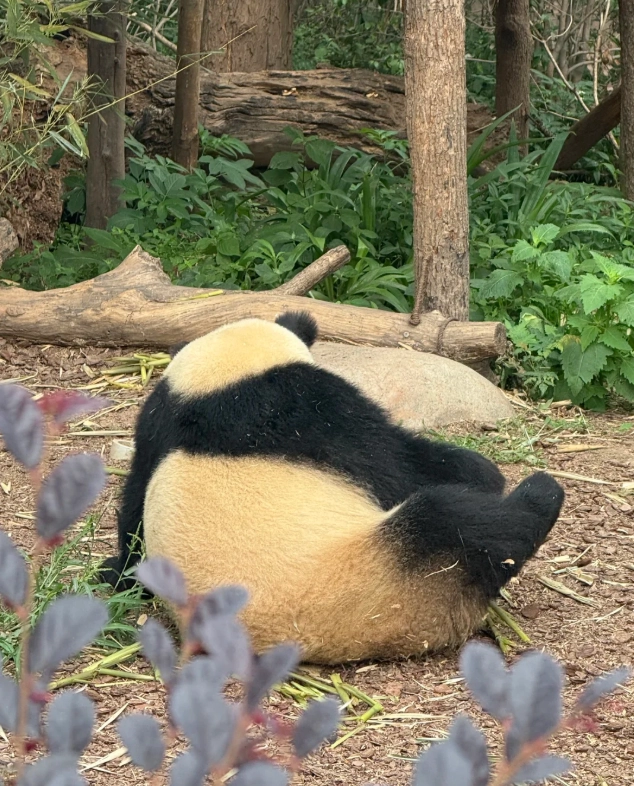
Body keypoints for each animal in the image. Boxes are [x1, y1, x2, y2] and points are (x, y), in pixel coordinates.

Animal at [99, 311, 564, 664]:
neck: (224, 379)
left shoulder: (159, 417)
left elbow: (135, 500)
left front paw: (119, 569)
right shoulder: (305, 406)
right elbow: (394, 461)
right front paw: (483, 471)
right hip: (385, 581)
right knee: (457, 522)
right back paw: (540, 494)